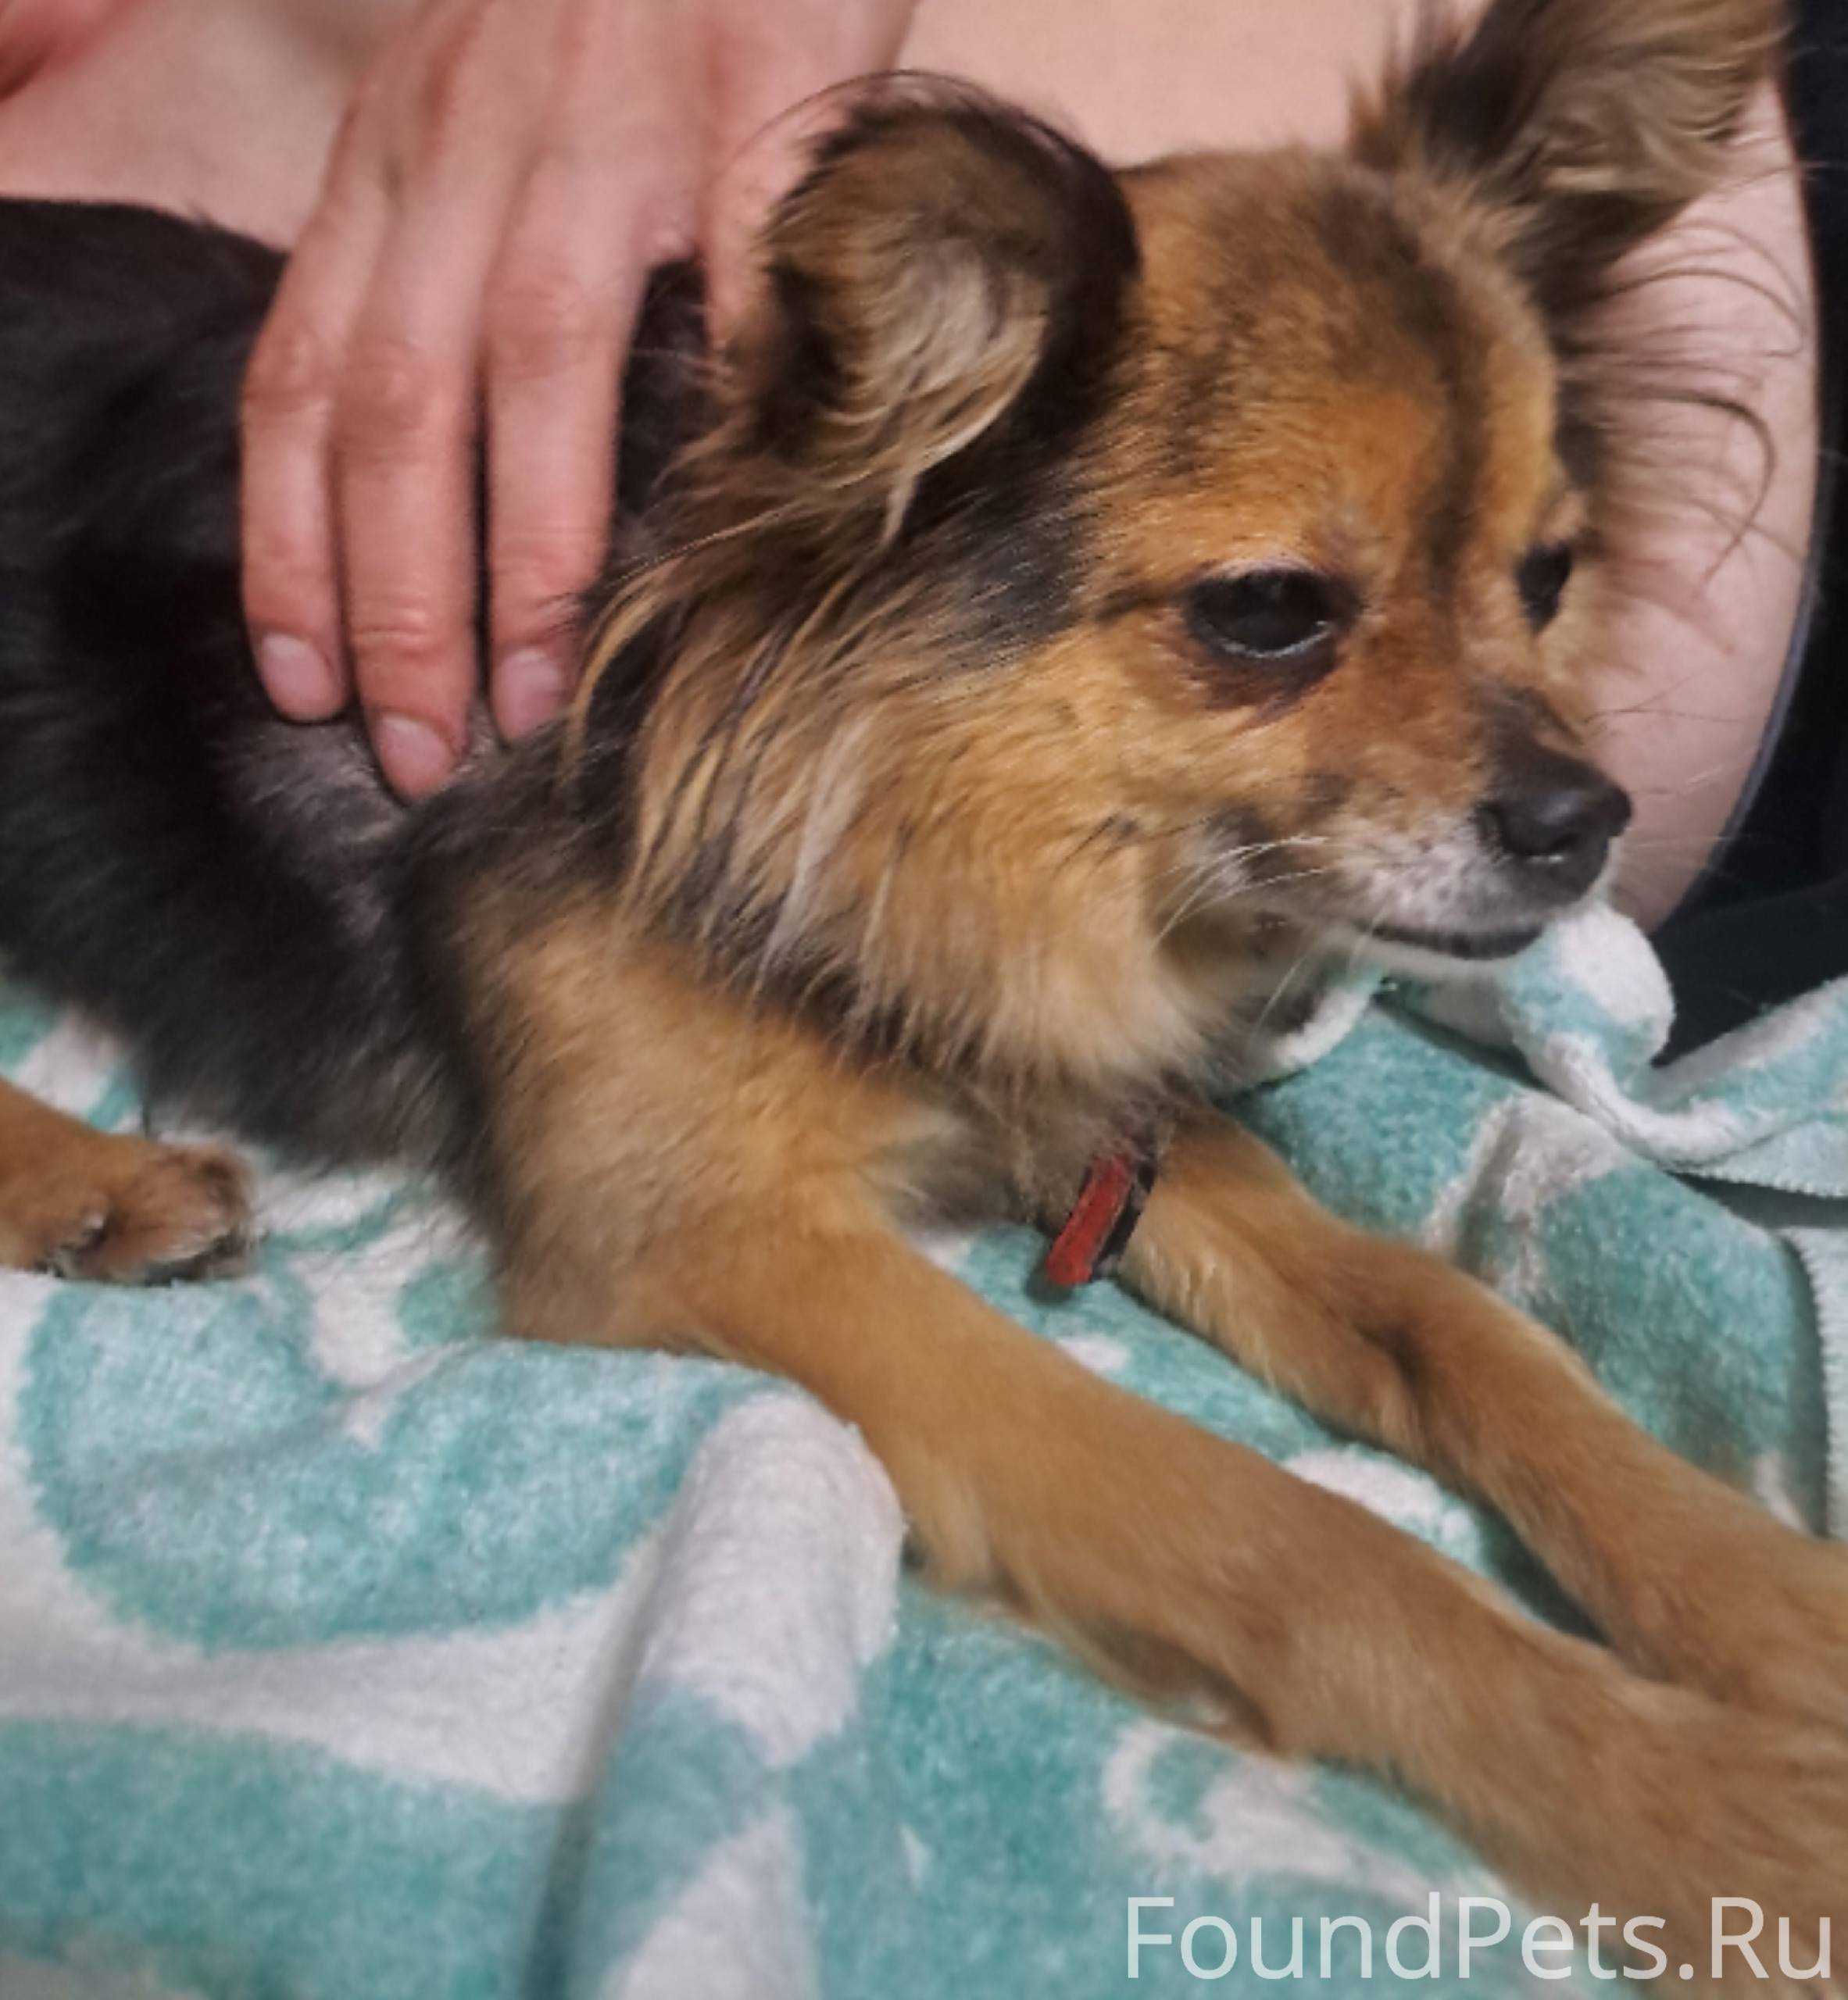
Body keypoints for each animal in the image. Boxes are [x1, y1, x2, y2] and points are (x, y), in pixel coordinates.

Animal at [1, 0, 1843, 1976]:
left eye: (1544, 575)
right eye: (1267, 609)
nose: (1585, 819)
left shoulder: (1098, 1129)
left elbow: (1452, 1321)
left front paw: (1761, 1601)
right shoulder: (719, 1240)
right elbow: (1295, 1546)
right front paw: (1704, 1806)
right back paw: (93, 1178)